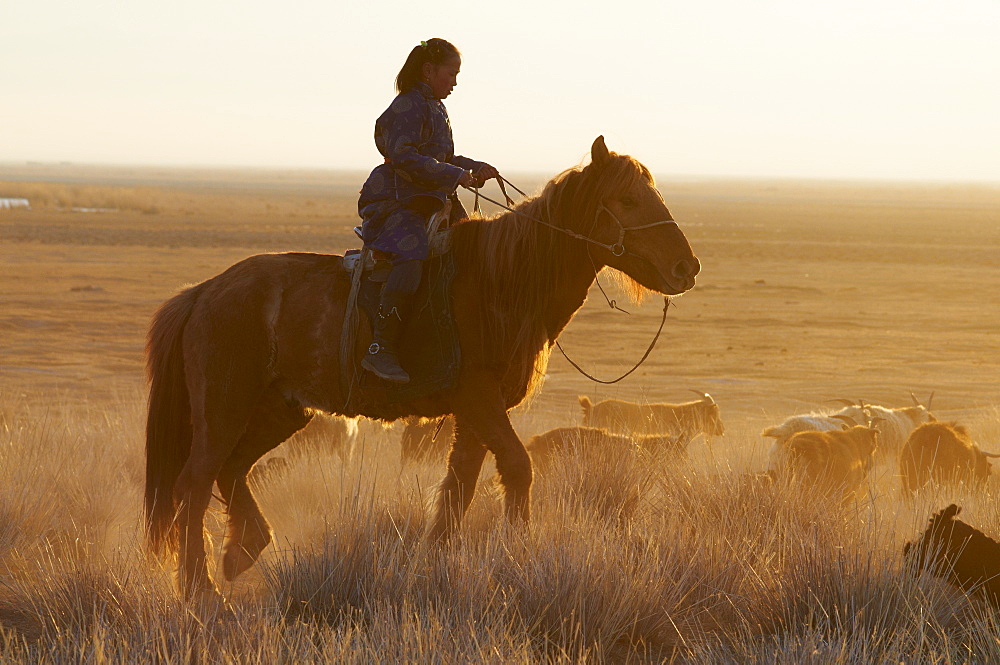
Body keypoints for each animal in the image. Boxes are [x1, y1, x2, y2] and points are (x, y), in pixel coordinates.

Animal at [145, 135, 700, 596]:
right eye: (627, 200)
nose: (686, 267)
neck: (502, 282)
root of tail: (203, 294)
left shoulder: (476, 412)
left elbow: (460, 487)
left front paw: (434, 564)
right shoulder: (479, 399)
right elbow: (517, 468)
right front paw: (518, 556)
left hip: (280, 411)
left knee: (231, 470)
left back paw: (242, 550)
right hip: (225, 407)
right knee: (195, 482)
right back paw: (201, 591)